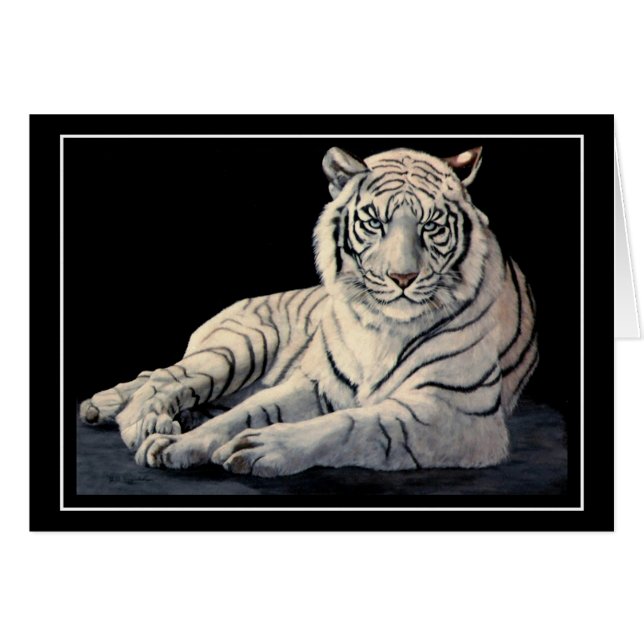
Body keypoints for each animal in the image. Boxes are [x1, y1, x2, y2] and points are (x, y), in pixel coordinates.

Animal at [80, 145, 538, 478]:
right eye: (374, 223)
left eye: (431, 226)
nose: (402, 277)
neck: (382, 326)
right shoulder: (320, 384)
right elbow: (253, 410)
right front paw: (175, 444)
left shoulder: (456, 412)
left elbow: (354, 425)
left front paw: (259, 447)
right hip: (240, 348)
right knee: (161, 377)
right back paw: (138, 422)